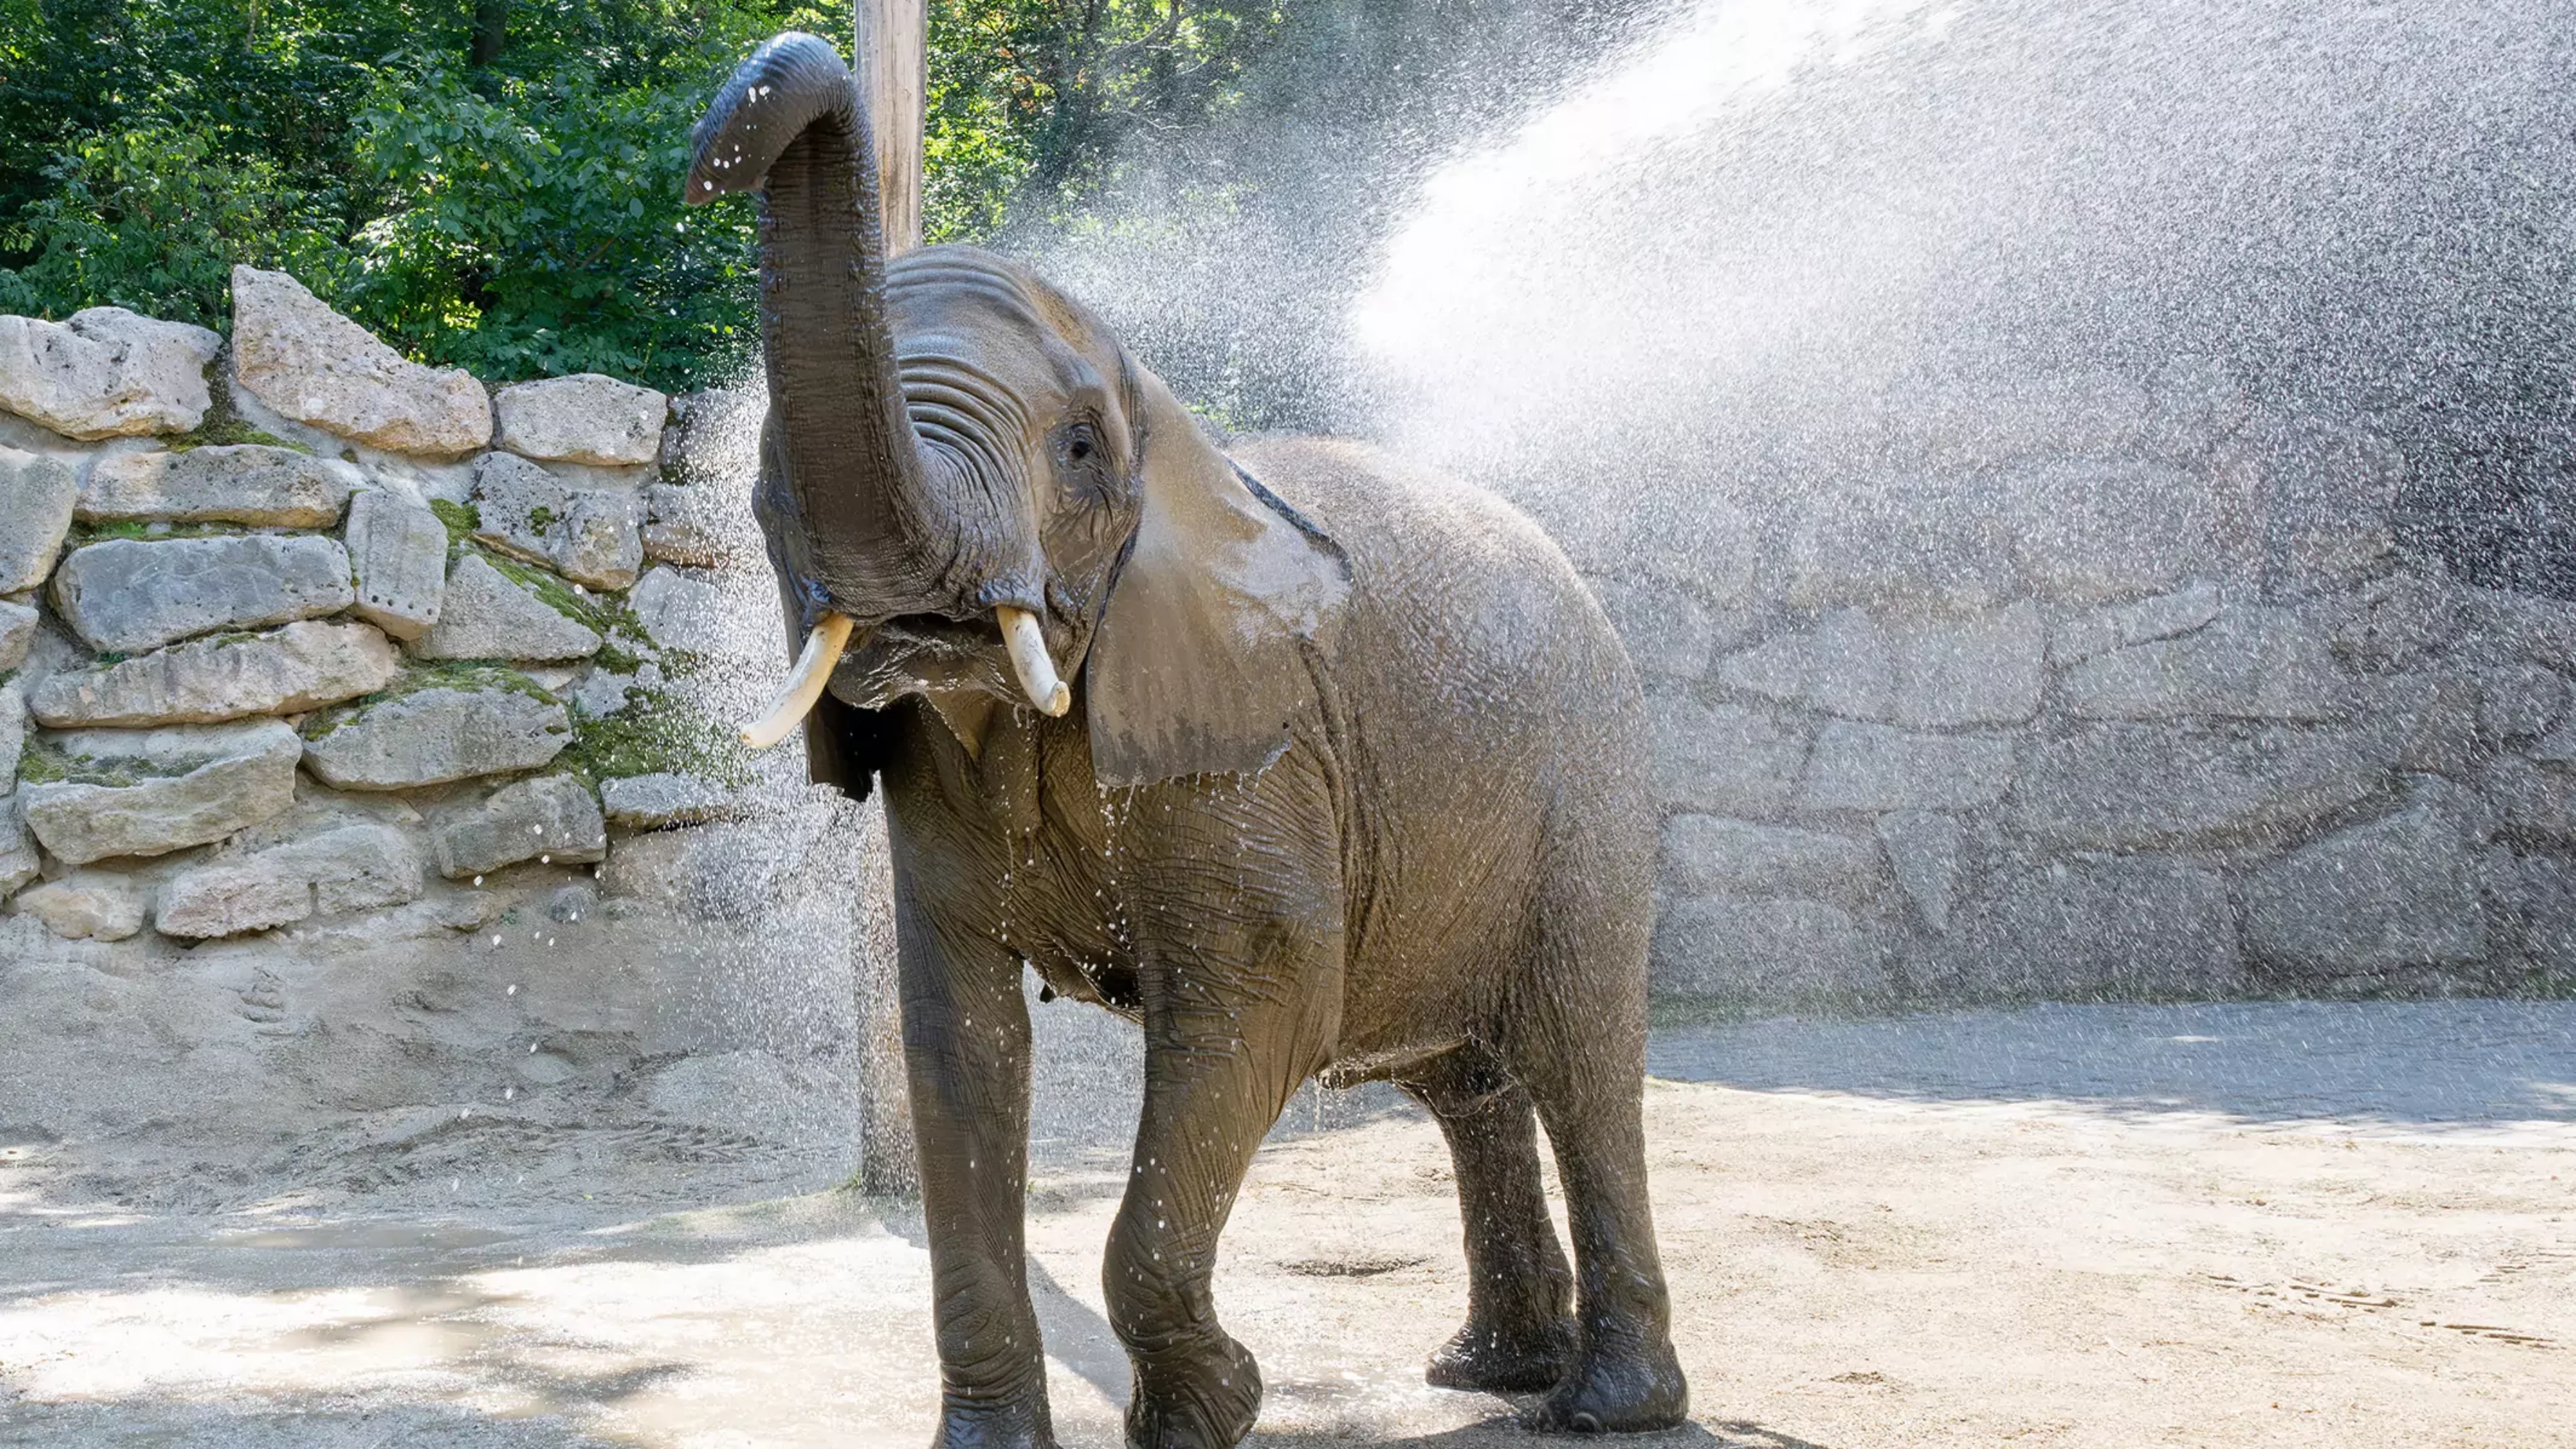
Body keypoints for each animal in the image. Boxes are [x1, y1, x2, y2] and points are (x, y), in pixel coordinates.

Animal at [687, 33, 1689, 1448]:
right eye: (770, 473)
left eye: (1079, 448)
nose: (714, 153)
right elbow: (961, 1046)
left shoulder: (1260, 758)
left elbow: (1259, 1004)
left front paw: (1211, 1412)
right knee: (1465, 1080)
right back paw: (1486, 1370)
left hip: (1588, 783)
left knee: (1582, 1064)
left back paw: (1605, 1406)